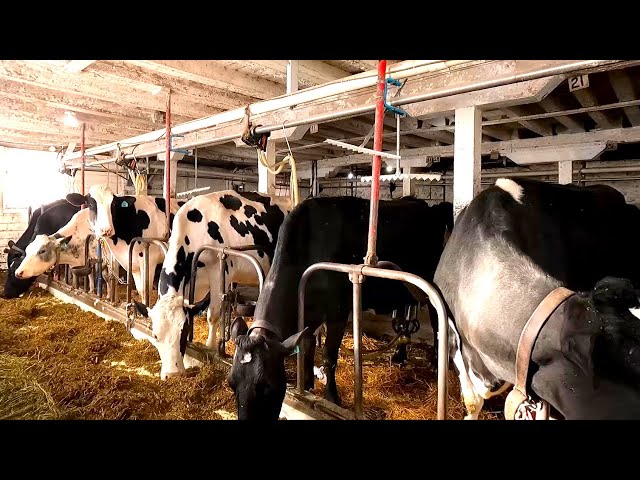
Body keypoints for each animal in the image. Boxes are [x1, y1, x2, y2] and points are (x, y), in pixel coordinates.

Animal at [136, 189, 294, 380]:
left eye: (182, 332)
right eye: (155, 335)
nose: (173, 374)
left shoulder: (220, 271)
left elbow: (213, 314)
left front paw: (210, 347)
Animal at [228, 195, 452, 420]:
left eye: (267, 387)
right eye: (231, 383)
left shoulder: (338, 310)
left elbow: (329, 354)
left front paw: (331, 397)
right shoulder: (309, 312)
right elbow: (307, 346)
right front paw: (306, 385)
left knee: (436, 320)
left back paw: (435, 362)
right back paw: (400, 355)